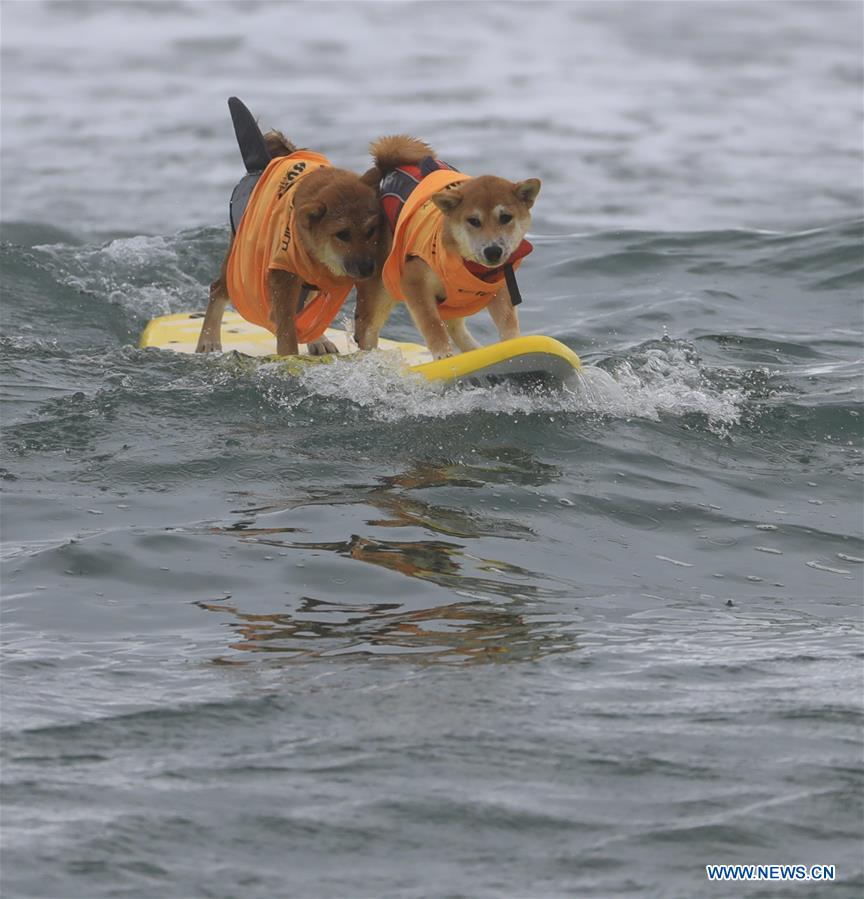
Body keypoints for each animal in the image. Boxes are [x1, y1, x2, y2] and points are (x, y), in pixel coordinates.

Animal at [201, 95, 384, 356]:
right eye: (342, 234)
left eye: (371, 230)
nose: (368, 269)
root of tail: (259, 166)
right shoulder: (282, 278)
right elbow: (287, 331)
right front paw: (289, 357)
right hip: (238, 266)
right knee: (217, 289)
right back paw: (208, 341)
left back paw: (318, 341)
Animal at [352, 134, 540, 358]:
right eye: (473, 221)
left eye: (505, 217)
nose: (493, 251)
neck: (467, 264)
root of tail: (391, 167)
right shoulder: (413, 280)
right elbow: (432, 324)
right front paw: (443, 355)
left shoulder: (499, 287)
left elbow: (507, 321)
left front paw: (515, 344)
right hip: (381, 286)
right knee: (367, 331)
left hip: (453, 302)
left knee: (455, 327)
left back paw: (475, 350)